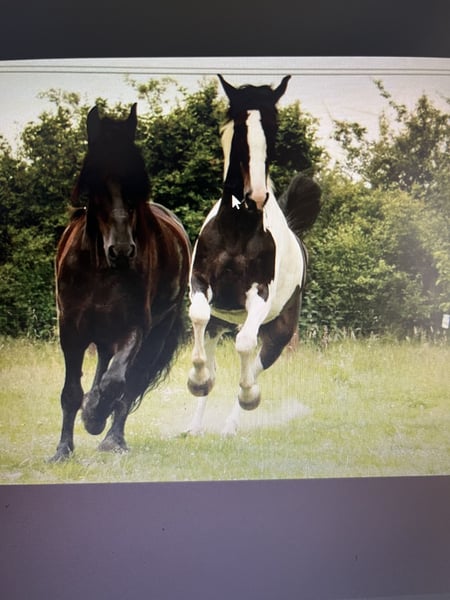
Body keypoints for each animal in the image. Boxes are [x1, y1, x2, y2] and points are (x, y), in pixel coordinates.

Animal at [51, 104, 191, 461]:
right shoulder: (71, 329)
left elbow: (117, 383)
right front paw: (63, 449)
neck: (100, 268)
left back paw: (112, 436)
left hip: (154, 333)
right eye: (95, 184)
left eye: (137, 186)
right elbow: (71, 392)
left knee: (130, 381)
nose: (123, 250)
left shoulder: (135, 327)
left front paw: (95, 416)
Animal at [186, 74, 321, 435]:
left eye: (273, 129)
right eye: (239, 129)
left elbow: (246, 346)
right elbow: (198, 317)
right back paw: (195, 425)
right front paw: (197, 381)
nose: (256, 195)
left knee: (256, 363)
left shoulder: (258, 295)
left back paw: (233, 423)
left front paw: (248, 397)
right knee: (214, 350)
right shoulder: (201, 284)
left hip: (280, 331)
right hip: (222, 320)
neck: (238, 230)